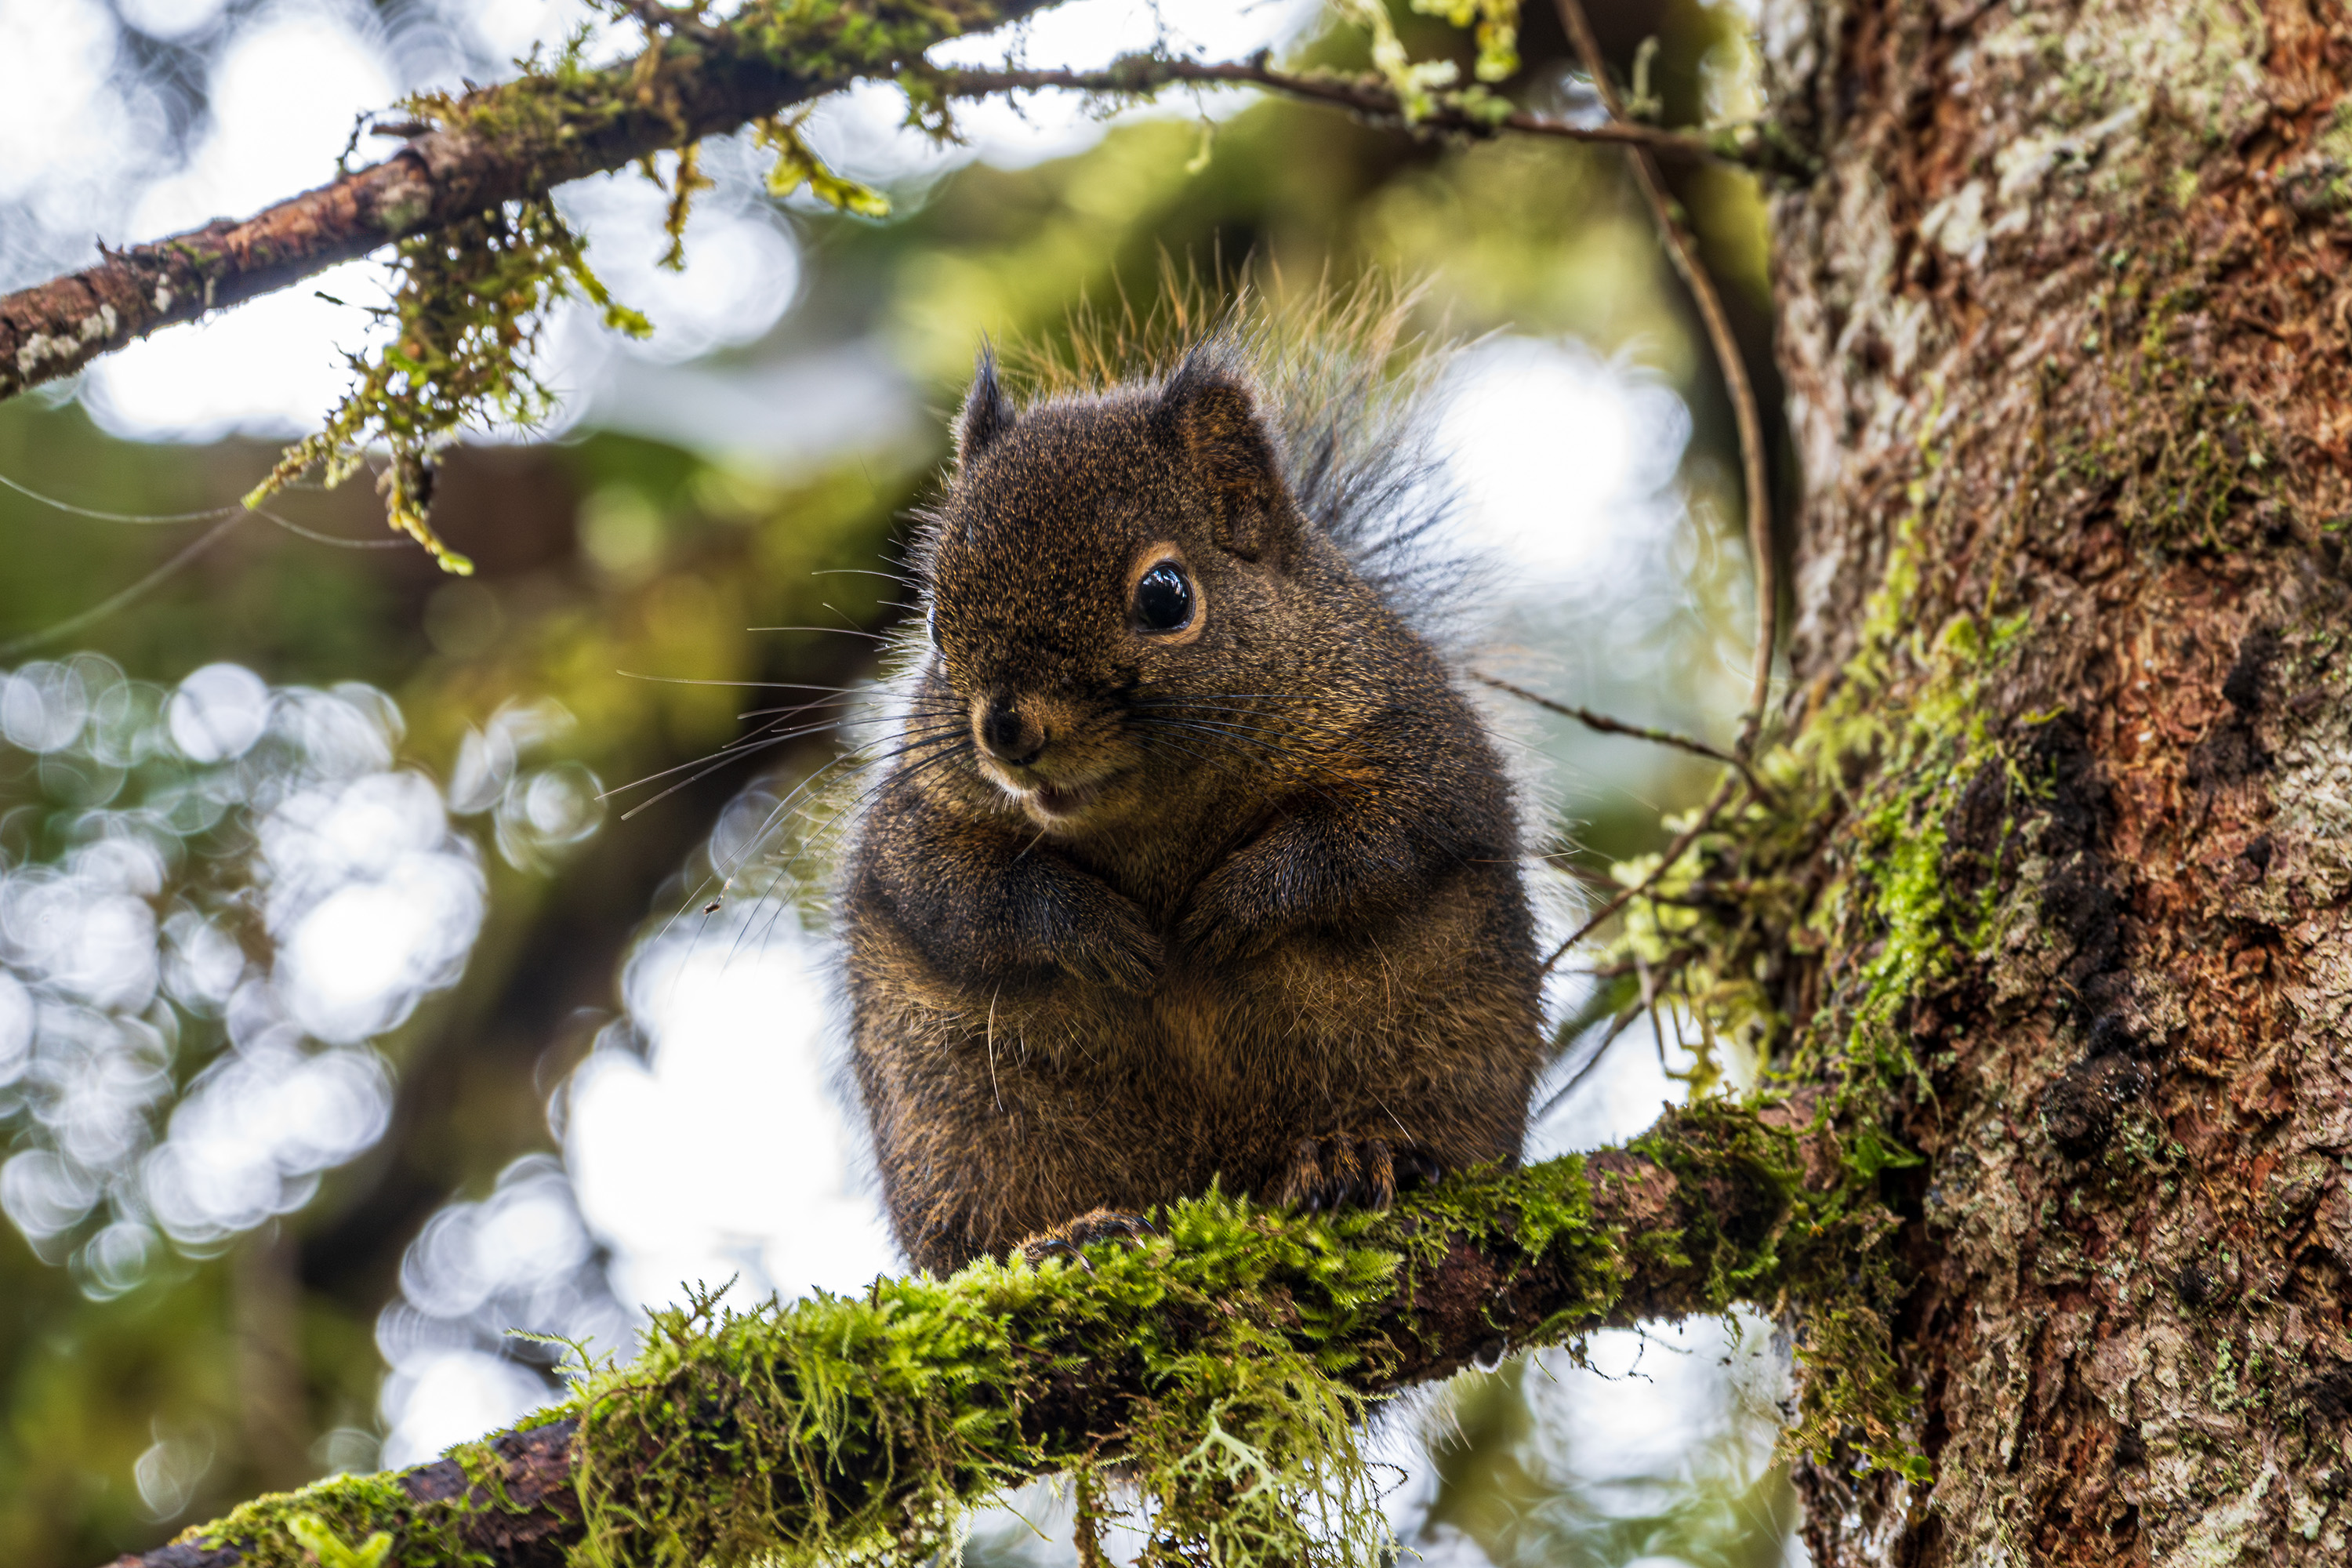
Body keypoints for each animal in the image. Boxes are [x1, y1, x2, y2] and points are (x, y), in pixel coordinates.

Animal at [838, 296, 1545, 1275]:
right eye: (938, 623)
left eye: (1167, 594)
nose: (1007, 729)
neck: (1154, 820)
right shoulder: (918, 816)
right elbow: (955, 892)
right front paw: (1096, 930)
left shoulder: (1418, 741)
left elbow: (1376, 838)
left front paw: (1239, 902)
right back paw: (1066, 1234)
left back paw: (1355, 1158)